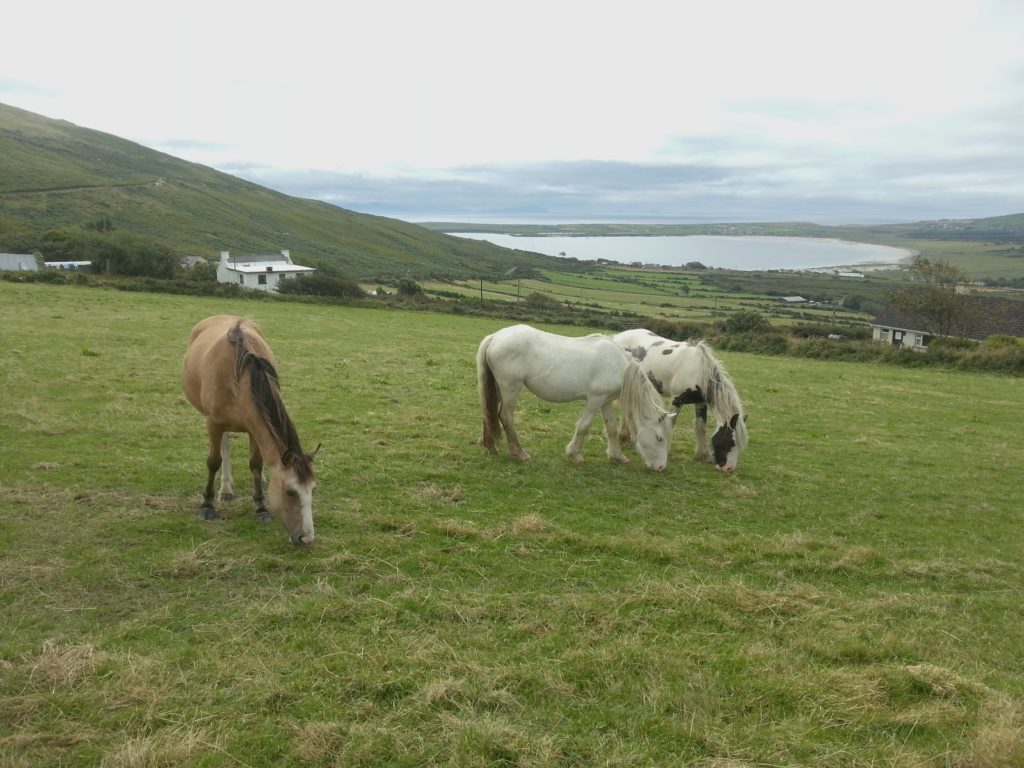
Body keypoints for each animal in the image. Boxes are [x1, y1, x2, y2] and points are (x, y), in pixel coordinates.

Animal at [180, 317, 315, 548]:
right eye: (290, 491)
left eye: (312, 490)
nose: (307, 538)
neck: (239, 378)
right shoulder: (213, 423)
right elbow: (213, 462)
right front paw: (206, 505)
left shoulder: (254, 428)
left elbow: (256, 465)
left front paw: (260, 507)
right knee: (223, 448)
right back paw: (225, 489)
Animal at [610, 327, 749, 473]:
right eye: (731, 442)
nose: (729, 468)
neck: (698, 370)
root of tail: (618, 336)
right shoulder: (676, 400)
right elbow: (671, 424)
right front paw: (667, 450)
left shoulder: (700, 402)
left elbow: (701, 427)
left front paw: (703, 455)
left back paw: (625, 437)